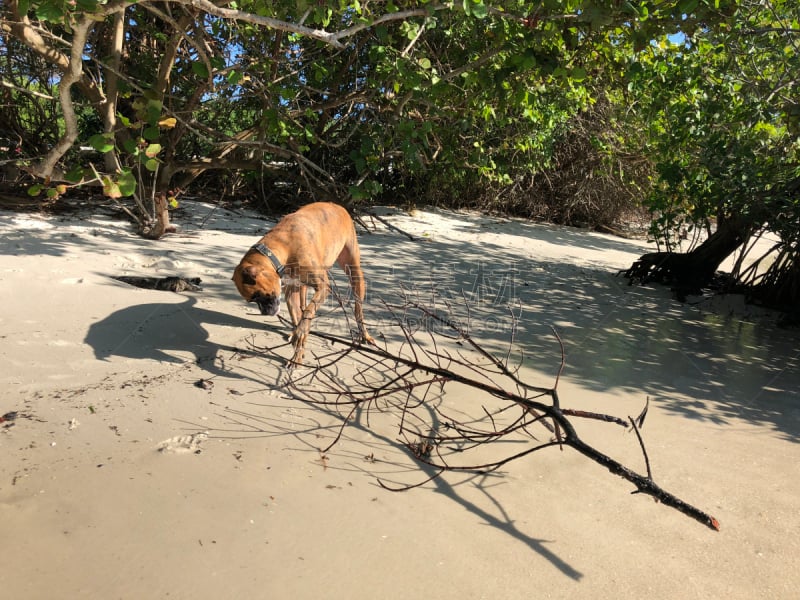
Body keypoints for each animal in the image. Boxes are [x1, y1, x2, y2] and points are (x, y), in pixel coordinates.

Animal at [233, 202, 374, 364]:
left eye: (257, 295)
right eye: (252, 300)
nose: (265, 313)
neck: (283, 246)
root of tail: (337, 205)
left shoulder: (323, 287)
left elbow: (307, 313)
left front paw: (299, 337)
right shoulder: (291, 292)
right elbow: (300, 316)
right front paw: (298, 351)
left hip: (355, 274)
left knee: (358, 310)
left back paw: (364, 334)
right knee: (302, 309)